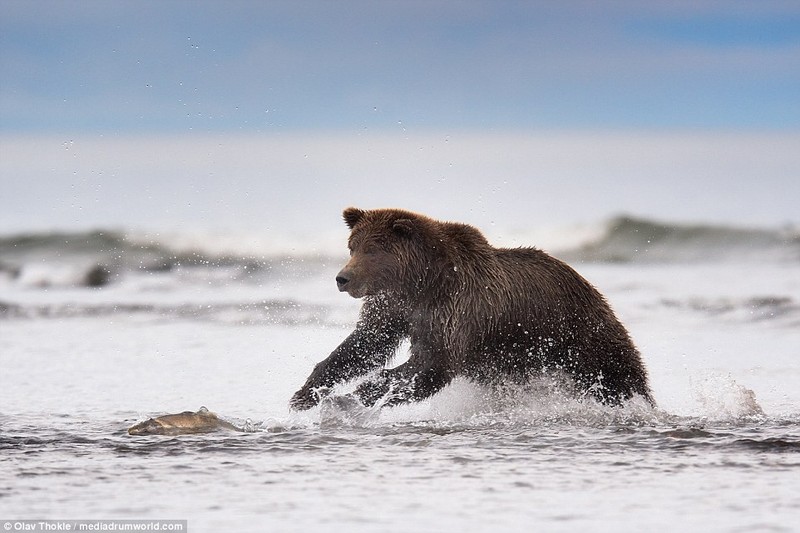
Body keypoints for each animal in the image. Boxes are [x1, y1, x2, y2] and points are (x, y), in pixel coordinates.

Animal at [290, 206, 652, 410]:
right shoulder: (394, 306)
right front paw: (305, 394)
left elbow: (432, 363)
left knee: (619, 374)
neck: (422, 283)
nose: (343, 278)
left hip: (582, 334)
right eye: (352, 246)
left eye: (372, 250)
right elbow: (366, 344)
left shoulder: (457, 308)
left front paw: (358, 393)